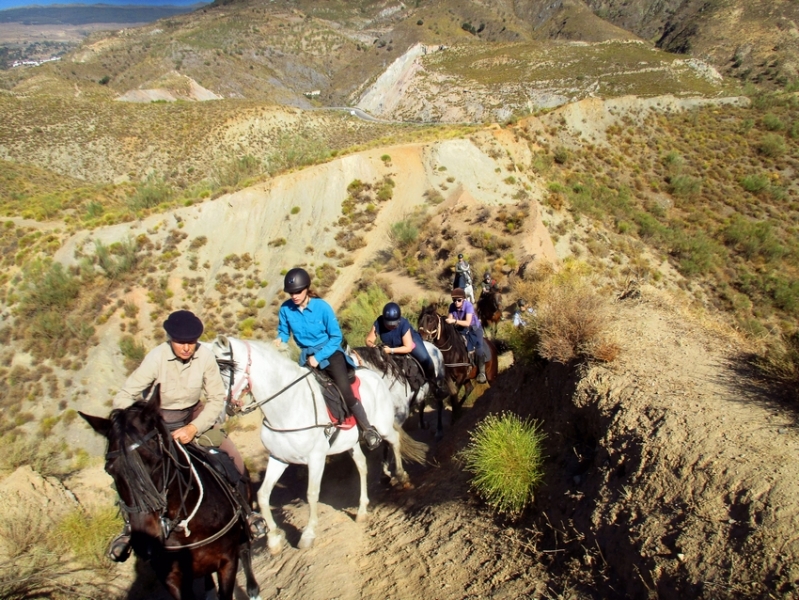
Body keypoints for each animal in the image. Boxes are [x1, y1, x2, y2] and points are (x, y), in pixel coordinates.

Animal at [79, 386, 260, 596]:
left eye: (157, 461)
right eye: (109, 470)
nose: (145, 543)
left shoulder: (227, 562)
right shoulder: (172, 578)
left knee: (245, 547)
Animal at [209, 332, 428, 552]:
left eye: (225, 368)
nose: (218, 412)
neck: (288, 406)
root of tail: (375, 376)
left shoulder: (316, 458)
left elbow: (312, 494)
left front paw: (308, 534)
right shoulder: (279, 458)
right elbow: (263, 496)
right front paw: (273, 540)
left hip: (382, 427)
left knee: (395, 441)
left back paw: (402, 477)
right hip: (352, 443)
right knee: (362, 466)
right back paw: (362, 510)